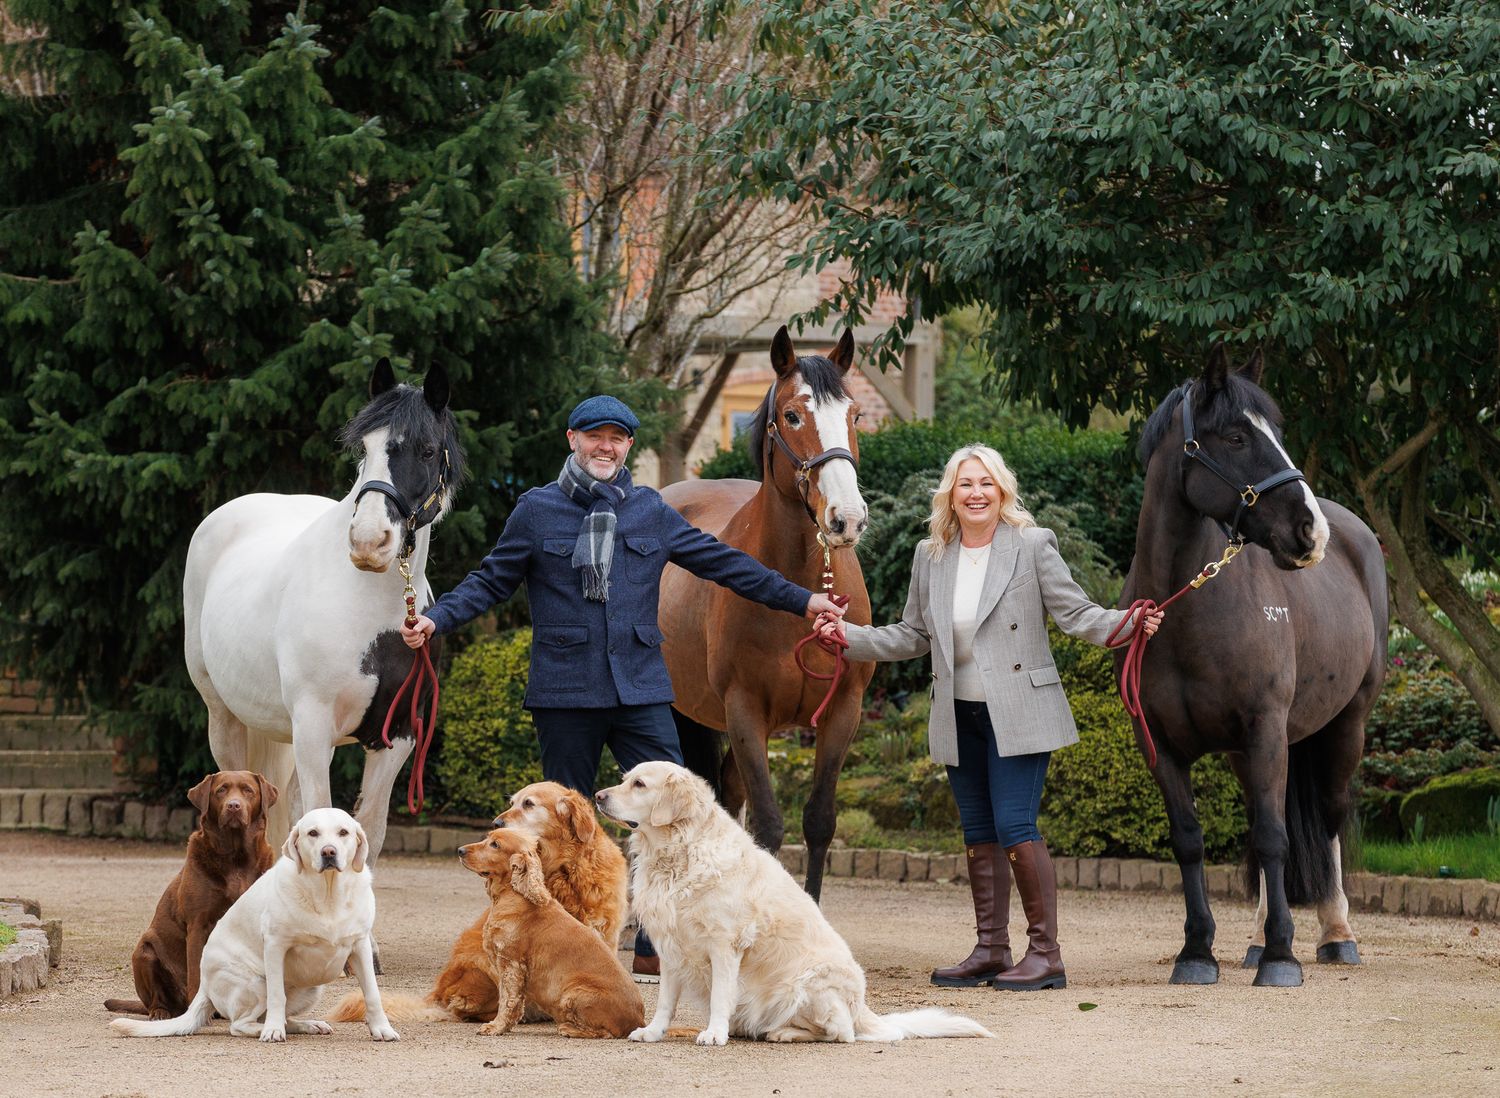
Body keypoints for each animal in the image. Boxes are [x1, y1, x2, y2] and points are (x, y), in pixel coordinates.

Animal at [183, 359, 465, 892]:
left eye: (426, 449)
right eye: (365, 448)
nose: (369, 541)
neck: (369, 609)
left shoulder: (398, 735)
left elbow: (367, 831)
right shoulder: (313, 728)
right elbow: (316, 818)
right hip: (224, 717)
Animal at [659, 326, 873, 900]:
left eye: (855, 415)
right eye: (793, 415)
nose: (847, 519)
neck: (796, 590)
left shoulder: (843, 712)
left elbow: (818, 821)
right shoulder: (744, 712)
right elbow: (770, 826)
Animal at [1119, 343, 1387, 987]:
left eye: (1277, 433)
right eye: (1237, 437)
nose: (1309, 531)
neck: (1185, 612)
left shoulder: (1266, 728)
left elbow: (1272, 839)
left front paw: (1283, 957)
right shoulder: (1160, 744)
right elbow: (1191, 841)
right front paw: (1198, 950)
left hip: (1345, 728)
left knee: (1329, 814)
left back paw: (1335, 934)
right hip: (1253, 752)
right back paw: (1257, 937)